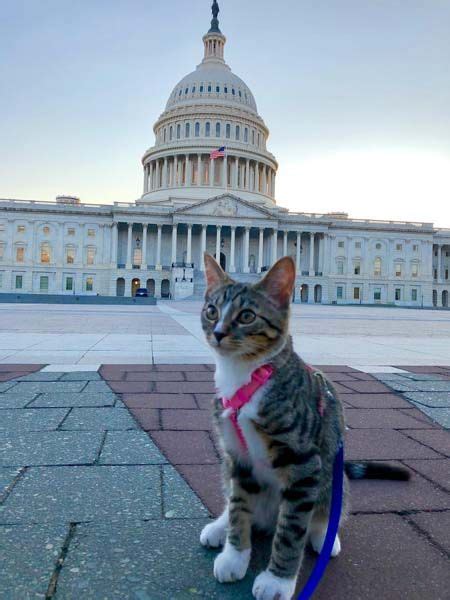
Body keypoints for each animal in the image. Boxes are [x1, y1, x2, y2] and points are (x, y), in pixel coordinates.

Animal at [200, 254, 408, 600]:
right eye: (211, 311)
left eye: (247, 316)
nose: (217, 333)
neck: (244, 375)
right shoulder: (238, 457)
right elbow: (239, 509)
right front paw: (234, 556)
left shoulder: (303, 465)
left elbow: (290, 532)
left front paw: (278, 581)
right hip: (226, 465)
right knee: (233, 501)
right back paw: (219, 527)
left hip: (331, 474)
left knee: (327, 511)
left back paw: (325, 537)